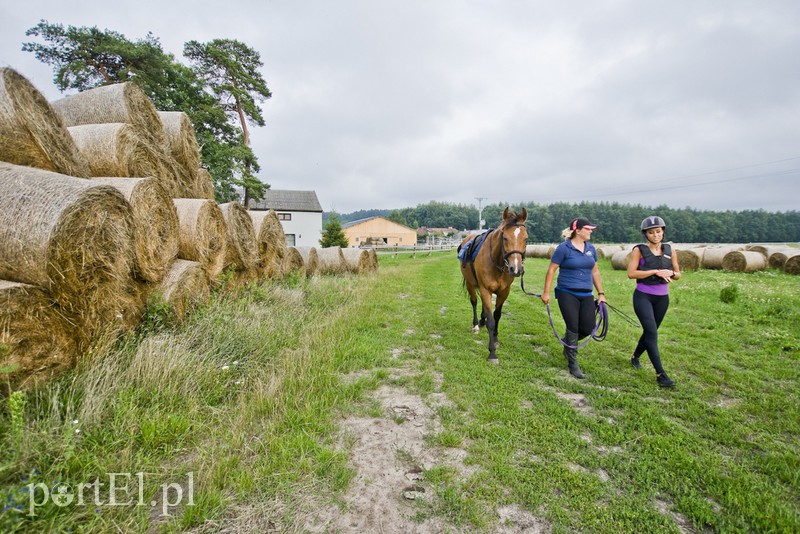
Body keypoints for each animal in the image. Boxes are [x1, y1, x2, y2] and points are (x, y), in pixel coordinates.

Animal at [460, 208, 528, 364]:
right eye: (505, 238)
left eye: (526, 239)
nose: (516, 269)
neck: (497, 263)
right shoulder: (485, 290)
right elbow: (491, 321)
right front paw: (492, 352)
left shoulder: (504, 291)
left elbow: (497, 315)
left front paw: (496, 339)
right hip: (470, 284)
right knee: (474, 302)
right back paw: (476, 325)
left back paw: (481, 320)